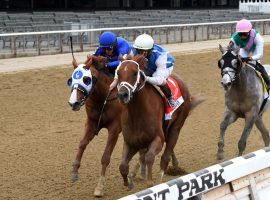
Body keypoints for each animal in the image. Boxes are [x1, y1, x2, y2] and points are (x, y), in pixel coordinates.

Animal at [67, 56, 122, 197]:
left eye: (86, 79)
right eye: (71, 79)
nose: (73, 103)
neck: (103, 98)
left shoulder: (115, 128)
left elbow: (105, 157)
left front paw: (100, 187)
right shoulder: (91, 123)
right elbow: (82, 143)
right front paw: (74, 171)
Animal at [116, 54, 202, 188]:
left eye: (135, 73)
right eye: (118, 73)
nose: (122, 95)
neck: (137, 114)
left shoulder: (157, 138)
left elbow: (149, 157)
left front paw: (150, 181)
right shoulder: (131, 142)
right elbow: (123, 166)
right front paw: (128, 182)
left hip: (176, 126)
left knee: (166, 154)